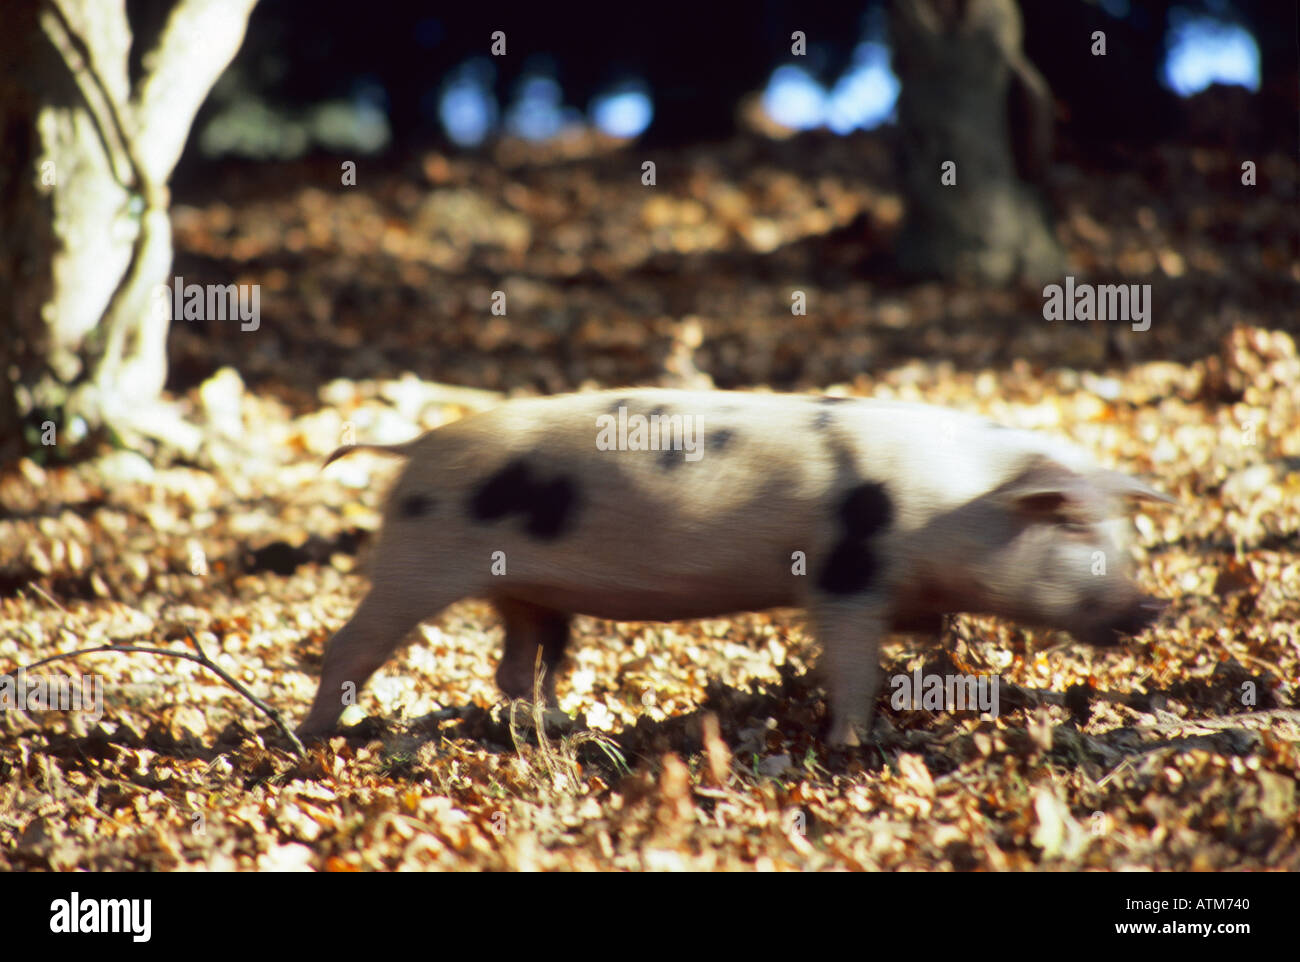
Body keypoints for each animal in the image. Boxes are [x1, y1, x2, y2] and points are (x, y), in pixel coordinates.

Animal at [298, 389, 1172, 746]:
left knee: (519, 664)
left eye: (1123, 532)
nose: (1151, 607)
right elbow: (850, 664)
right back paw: (307, 737)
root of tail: (412, 446)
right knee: (349, 644)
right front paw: (855, 742)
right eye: (1075, 530)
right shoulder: (845, 577)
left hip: (527, 589)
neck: (953, 502)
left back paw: (555, 725)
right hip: (414, 565)